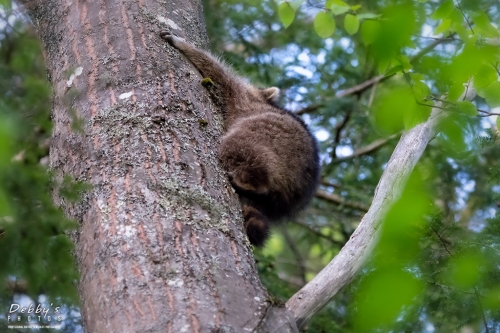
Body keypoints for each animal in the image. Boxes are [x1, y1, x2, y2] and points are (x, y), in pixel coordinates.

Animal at [160, 31, 318, 246]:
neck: (260, 98)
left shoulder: (238, 94)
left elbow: (216, 71)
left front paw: (183, 45)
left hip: (270, 146)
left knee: (237, 147)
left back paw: (251, 182)